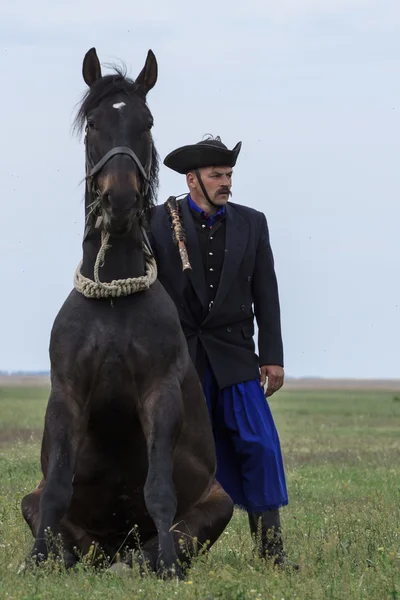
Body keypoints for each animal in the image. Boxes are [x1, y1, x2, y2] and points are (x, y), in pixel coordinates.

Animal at [21, 48, 234, 576]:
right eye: (93, 124)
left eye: (147, 122)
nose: (118, 201)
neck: (114, 298)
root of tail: (116, 544)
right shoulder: (68, 393)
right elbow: (56, 487)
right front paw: (35, 562)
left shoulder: (160, 394)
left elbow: (159, 489)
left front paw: (170, 568)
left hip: (219, 503)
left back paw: (148, 560)